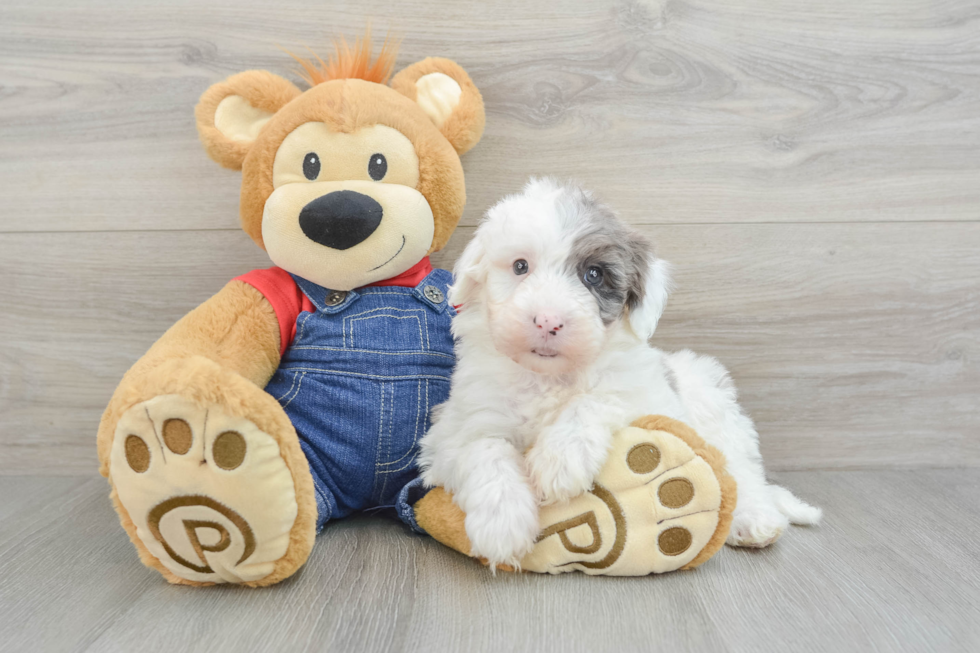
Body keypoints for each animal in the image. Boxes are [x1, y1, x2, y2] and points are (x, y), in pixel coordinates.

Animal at [418, 180, 824, 572]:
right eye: (520, 267)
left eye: (593, 274)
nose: (548, 320)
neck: (550, 378)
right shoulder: (453, 429)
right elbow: (483, 448)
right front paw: (502, 524)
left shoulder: (650, 397)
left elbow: (599, 397)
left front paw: (560, 458)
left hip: (718, 417)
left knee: (743, 474)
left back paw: (754, 520)